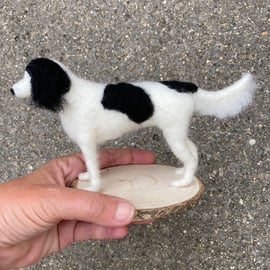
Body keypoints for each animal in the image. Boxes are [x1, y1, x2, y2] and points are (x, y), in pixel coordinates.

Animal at [10, 57, 255, 191]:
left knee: (190, 156)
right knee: (193, 151)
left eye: (29, 78)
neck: (71, 94)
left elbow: (93, 165)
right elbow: (90, 164)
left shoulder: (88, 142)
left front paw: (94, 187)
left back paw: (183, 183)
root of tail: (186, 87)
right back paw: (182, 173)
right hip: (178, 131)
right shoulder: (88, 144)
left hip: (173, 133)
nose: (11, 90)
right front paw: (87, 178)